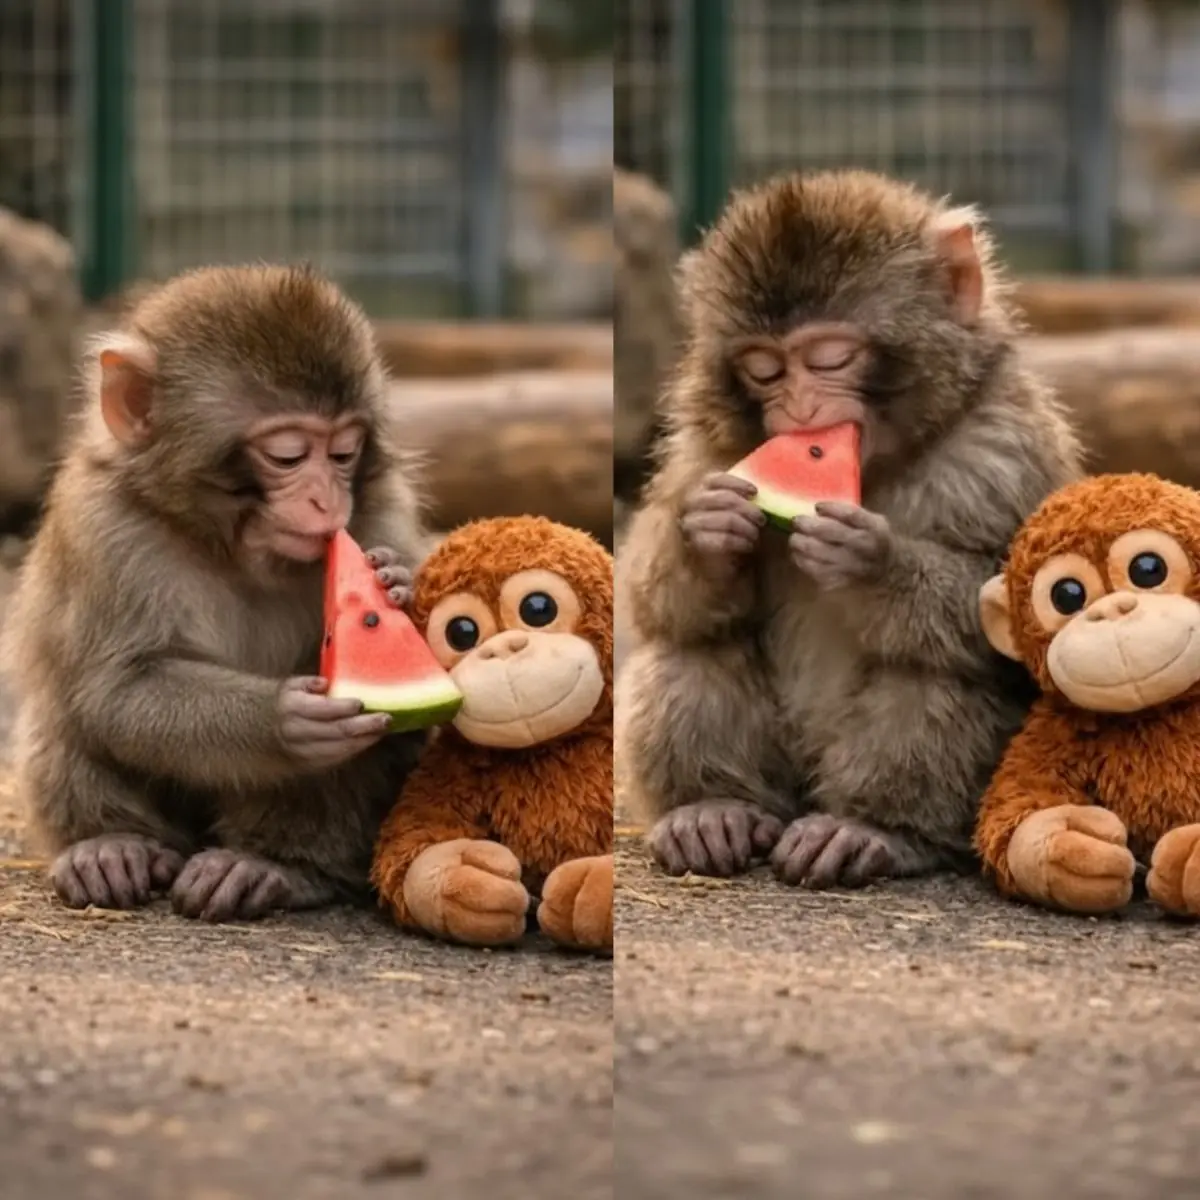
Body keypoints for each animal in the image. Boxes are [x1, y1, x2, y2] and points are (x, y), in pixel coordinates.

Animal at [0, 263, 429, 922]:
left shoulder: (380, 511)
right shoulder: (104, 526)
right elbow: (116, 691)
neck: (230, 548)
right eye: (287, 456)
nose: (326, 500)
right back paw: (112, 844)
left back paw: (273, 864)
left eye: (344, 452)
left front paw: (402, 584)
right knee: (65, 705)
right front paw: (280, 719)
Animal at [615, 169, 1084, 889]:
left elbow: (1013, 615)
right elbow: (651, 599)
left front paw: (871, 563)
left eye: (831, 357)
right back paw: (711, 808)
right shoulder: (708, 447)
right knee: (693, 642)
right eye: (763, 368)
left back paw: (875, 828)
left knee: (927, 668)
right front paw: (705, 536)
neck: (883, 461)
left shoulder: (1002, 451)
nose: (802, 408)